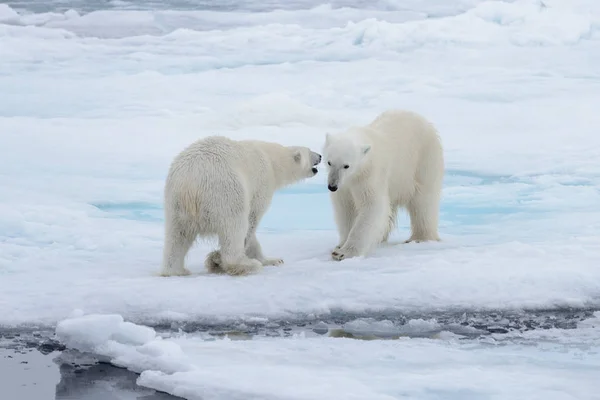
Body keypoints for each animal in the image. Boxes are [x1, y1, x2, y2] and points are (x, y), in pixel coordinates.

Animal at [158, 136, 318, 276]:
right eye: (310, 151)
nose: (320, 156)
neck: (271, 159)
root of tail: (189, 185)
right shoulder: (261, 183)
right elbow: (252, 220)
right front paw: (217, 258)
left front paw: (274, 260)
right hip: (225, 193)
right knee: (235, 225)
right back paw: (244, 264)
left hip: (174, 204)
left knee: (177, 237)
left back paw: (175, 270)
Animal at [324, 108, 446, 262]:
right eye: (329, 162)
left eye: (346, 165)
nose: (332, 186)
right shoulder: (345, 186)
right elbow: (346, 209)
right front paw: (340, 245)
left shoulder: (370, 176)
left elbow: (372, 206)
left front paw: (345, 253)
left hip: (423, 162)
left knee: (423, 202)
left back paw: (420, 238)